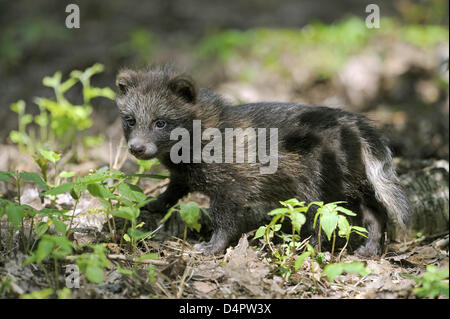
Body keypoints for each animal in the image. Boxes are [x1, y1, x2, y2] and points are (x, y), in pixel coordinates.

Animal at [114, 65, 410, 258]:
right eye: (130, 120)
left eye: (160, 122)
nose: (137, 148)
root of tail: (357, 125)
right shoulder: (186, 172)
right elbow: (176, 185)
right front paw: (157, 201)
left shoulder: (231, 178)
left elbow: (224, 216)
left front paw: (214, 245)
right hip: (352, 175)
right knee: (372, 211)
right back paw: (370, 245)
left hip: (321, 175)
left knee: (324, 212)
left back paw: (313, 246)